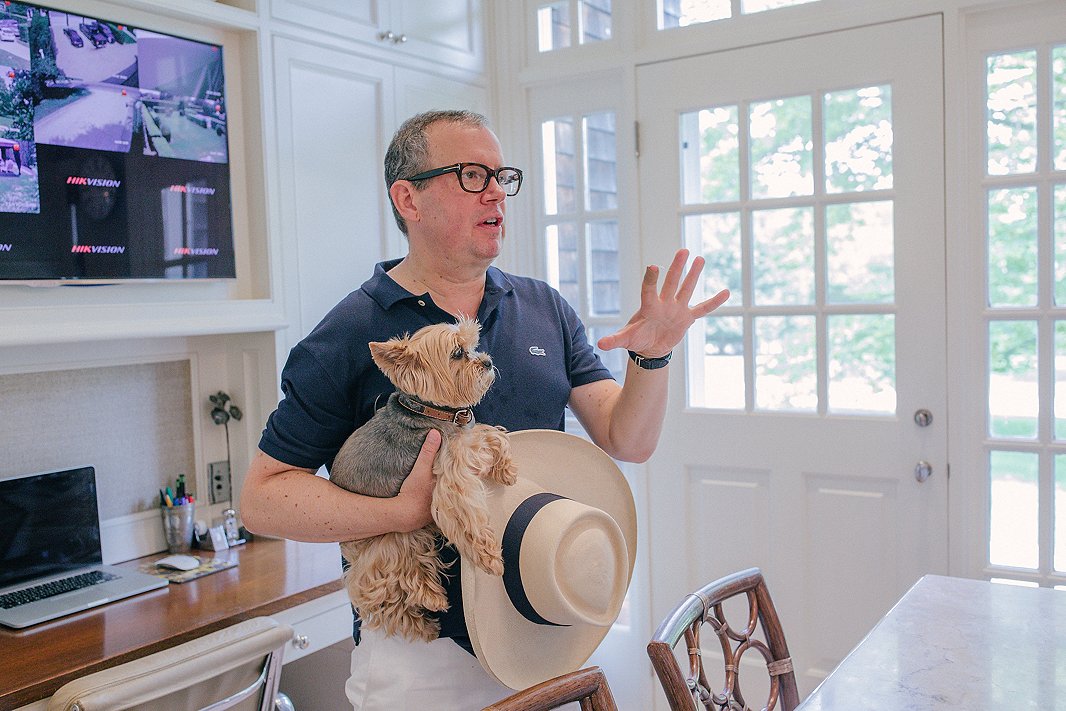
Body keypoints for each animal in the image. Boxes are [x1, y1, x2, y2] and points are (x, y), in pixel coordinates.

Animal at [332, 319, 515, 643]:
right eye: (457, 353)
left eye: (472, 345)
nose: (487, 361)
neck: (432, 410)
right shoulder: (450, 470)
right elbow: (465, 511)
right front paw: (489, 557)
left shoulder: (464, 439)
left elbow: (491, 434)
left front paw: (505, 467)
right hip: (388, 538)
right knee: (382, 586)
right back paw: (428, 602)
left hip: (406, 536)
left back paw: (430, 610)